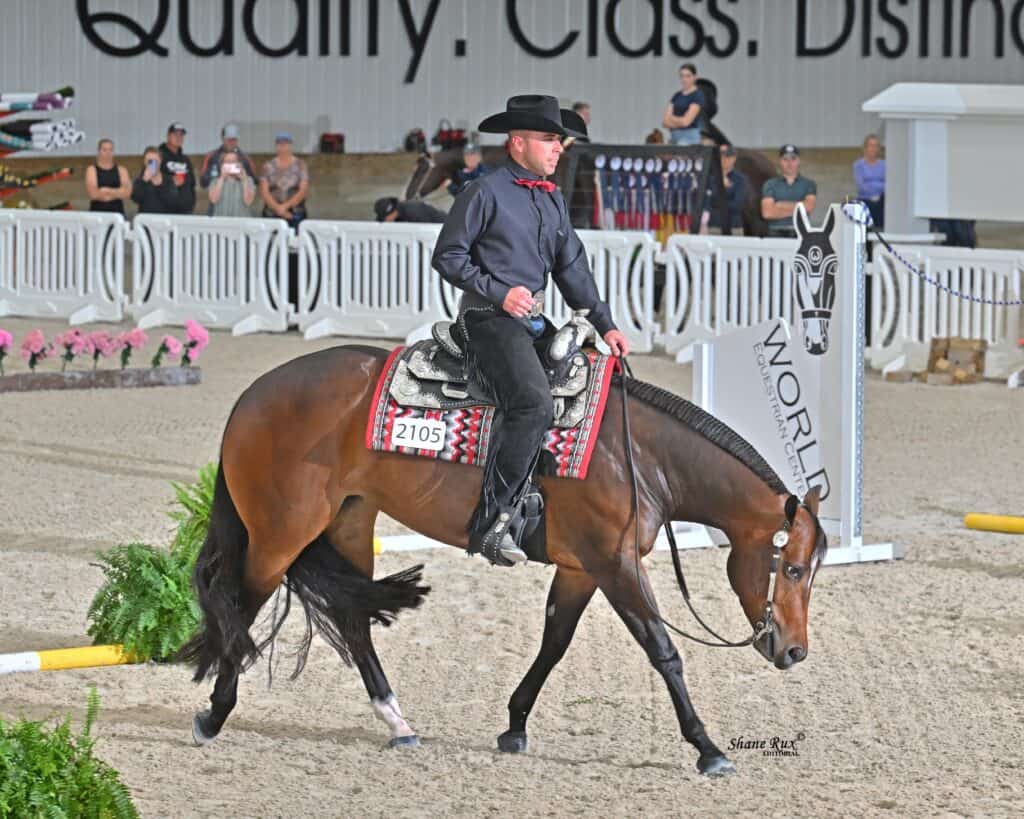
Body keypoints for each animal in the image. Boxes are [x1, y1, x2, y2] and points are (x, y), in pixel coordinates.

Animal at [181, 344, 828, 776]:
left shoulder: (580, 569)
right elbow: (663, 652)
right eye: (793, 569)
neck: (640, 455)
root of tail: (254, 394)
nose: (795, 651)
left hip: (349, 522)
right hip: (280, 533)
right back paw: (213, 715)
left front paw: (515, 725)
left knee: (352, 618)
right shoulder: (616, 564)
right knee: (241, 606)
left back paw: (396, 721)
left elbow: (554, 643)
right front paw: (707, 749)